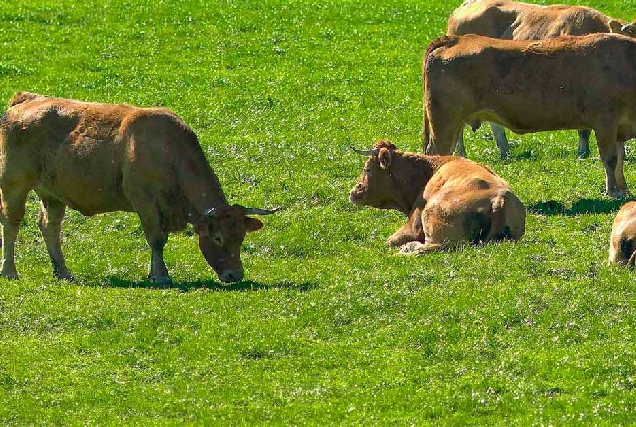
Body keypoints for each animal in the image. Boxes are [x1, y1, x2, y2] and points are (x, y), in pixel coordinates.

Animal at [0, 92, 278, 286]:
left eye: (241, 237)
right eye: (218, 237)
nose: (235, 275)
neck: (168, 152)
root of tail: (26, 100)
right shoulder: (145, 202)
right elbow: (156, 238)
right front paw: (161, 275)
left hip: (53, 194)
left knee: (49, 226)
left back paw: (63, 271)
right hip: (14, 184)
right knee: (12, 223)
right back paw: (10, 270)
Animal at [350, 140, 524, 254]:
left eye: (367, 169)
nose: (353, 191)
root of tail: (500, 199)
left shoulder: (412, 225)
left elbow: (388, 241)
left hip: (432, 216)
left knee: (434, 247)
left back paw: (408, 248)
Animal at [422, 33, 636, 199]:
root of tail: (456, 39)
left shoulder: (620, 126)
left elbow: (620, 158)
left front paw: (624, 189)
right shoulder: (605, 119)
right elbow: (610, 157)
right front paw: (614, 192)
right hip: (445, 122)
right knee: (435, 154)